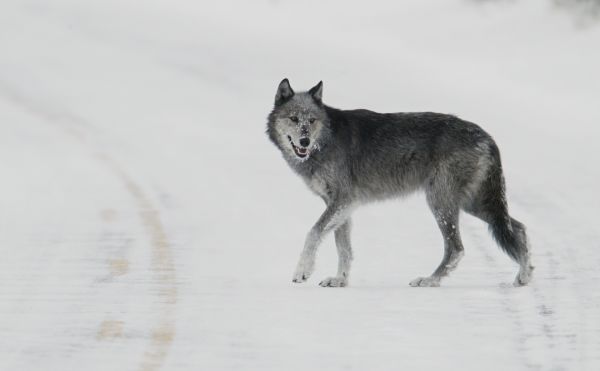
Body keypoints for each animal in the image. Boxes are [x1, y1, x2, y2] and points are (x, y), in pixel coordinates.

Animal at [268, 77, 536, 288]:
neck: (326, 140)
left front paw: (302, 271)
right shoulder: (340, 205)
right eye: (294, 119)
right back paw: (523, 277)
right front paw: (340, 280)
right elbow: (343, 248)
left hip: (441, 203)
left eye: (311, 120)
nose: (304, 141)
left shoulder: (343, 200)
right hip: (473, 204)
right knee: (519, 228)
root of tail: (487, 136)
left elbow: (313, 233)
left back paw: (429, 280)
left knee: (457, 248)